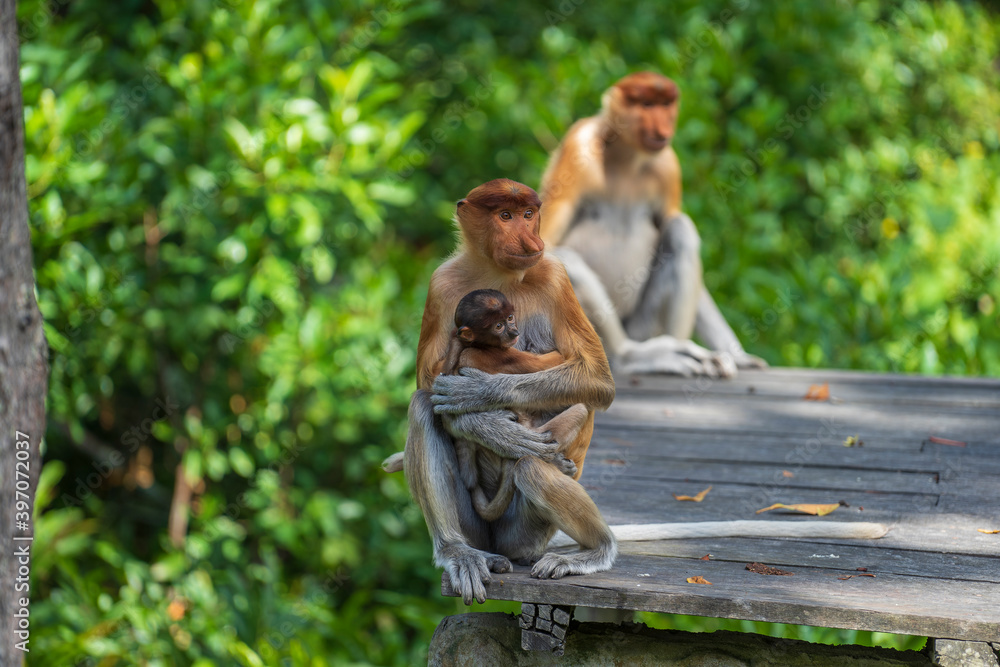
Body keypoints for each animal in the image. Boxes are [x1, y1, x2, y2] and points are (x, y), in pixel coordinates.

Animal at [383, 179, 886, 606]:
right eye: (504, 215)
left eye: (529, 213)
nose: (530, 242)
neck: (498, 272)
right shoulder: (443, 284)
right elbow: (428, 385)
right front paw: (482, 420)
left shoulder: (555, 275)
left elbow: (597, 379)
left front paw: (478, 402)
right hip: (478, 524)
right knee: (422, 409)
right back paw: (460, 553)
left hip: (526, 532)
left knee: (532, 466)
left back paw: (593, 546)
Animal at [539, 71, 768, 378]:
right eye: (646, 104)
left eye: (665, 104)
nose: (663, 127)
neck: (625, 157)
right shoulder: (579, 145)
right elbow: (543, 245)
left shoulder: (668, 166)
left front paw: (739, 356)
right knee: (563, 258)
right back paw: (627, 356)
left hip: (643, 328)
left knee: (681, 231)